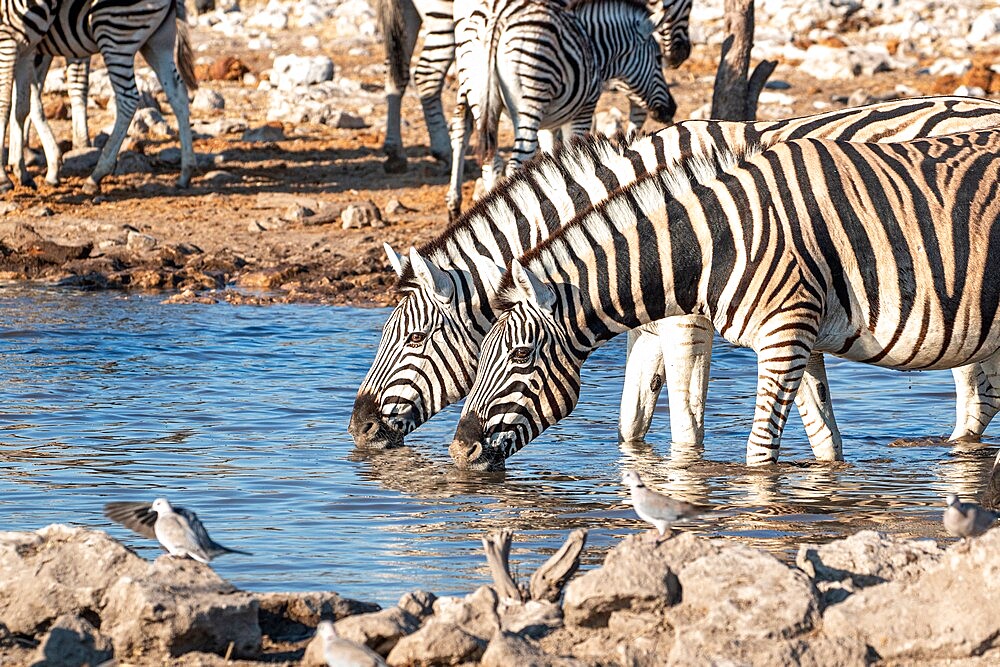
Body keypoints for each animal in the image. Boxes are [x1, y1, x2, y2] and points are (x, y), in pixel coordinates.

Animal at [8, 0, 196, 196]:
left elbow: (27, 103)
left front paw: (40, 166)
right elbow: (23, 101)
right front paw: (20, 161)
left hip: (115, 35)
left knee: (128, 99)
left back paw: (97, 174)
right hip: (158, 41)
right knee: (177, 93)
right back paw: (186, 172)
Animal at [352, 94, 1000, 460]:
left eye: (414, 339)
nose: (359, 430)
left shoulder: (688, 324)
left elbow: (686, 429)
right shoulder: (649, 325)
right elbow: (632, 423)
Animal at [446, 0, 688, 219]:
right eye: (658, 58)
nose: (672, 109)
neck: (595, 48)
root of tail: (496, 18)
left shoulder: (549, 124)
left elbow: (549, 159)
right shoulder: (583, 111)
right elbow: (573, 157)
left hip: (477, 93)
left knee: (484, 154)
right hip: (531, 97)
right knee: (515, 162)